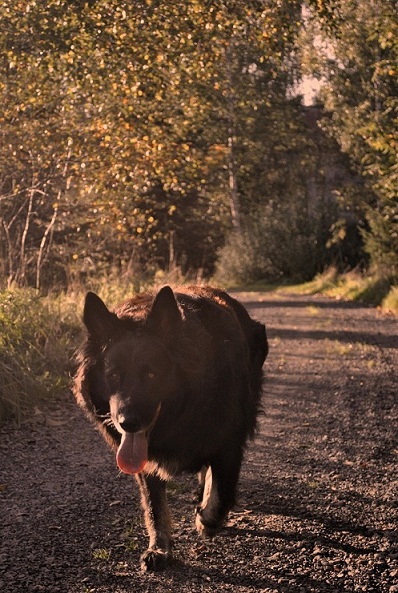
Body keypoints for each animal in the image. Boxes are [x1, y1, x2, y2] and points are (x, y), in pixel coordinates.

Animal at [74, 284, 268, 572]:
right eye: (113, 375)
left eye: (152, 374)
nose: (127, 423)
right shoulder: (145, 460)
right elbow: (154, 507)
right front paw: (159, 547)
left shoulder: (229, 443)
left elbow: (221, 493)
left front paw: (207, 520)